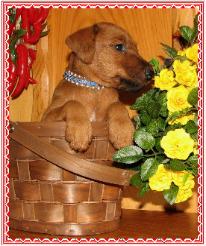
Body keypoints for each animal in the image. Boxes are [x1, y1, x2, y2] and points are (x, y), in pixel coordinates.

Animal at [42, 22, 153, 151]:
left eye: (136, 48)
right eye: (119, 47)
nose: (152, 73)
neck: (94, 87)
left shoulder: (102, 120)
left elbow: (117, 105)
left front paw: (123, 132)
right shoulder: (47, 118)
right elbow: (72, 103)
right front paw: (79, 130)